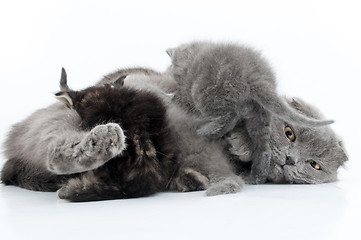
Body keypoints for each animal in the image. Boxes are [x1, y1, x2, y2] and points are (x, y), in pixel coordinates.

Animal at [166, 41, 334, 184]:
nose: (169, 70)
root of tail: (257, 76)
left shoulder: (187, 90)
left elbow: (180, 98)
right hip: (259, 114)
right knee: (264, 149)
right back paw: (256, 177)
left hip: (211, 94)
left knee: (227, 117)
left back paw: (204, 132)